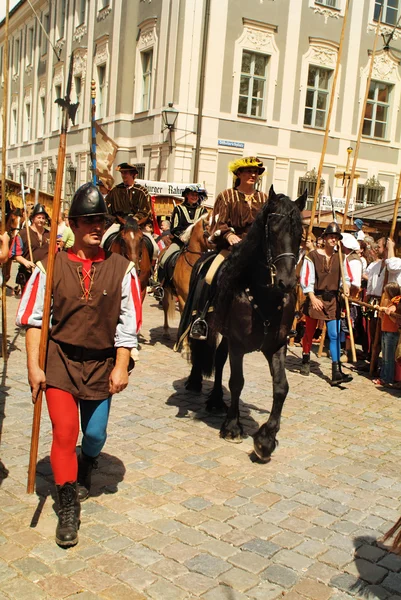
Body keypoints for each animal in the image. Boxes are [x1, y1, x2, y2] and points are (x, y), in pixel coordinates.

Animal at [186, 185, 304, 462]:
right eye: (272, 231)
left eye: (300, 234)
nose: (287, 282)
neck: (263, 294)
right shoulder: (238, 345)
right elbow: (237, 382)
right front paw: (232, 427)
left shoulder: (276, 346)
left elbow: (281, 387)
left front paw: (266, 439)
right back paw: (196, 383)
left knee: (219, 359)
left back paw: (216, 400)